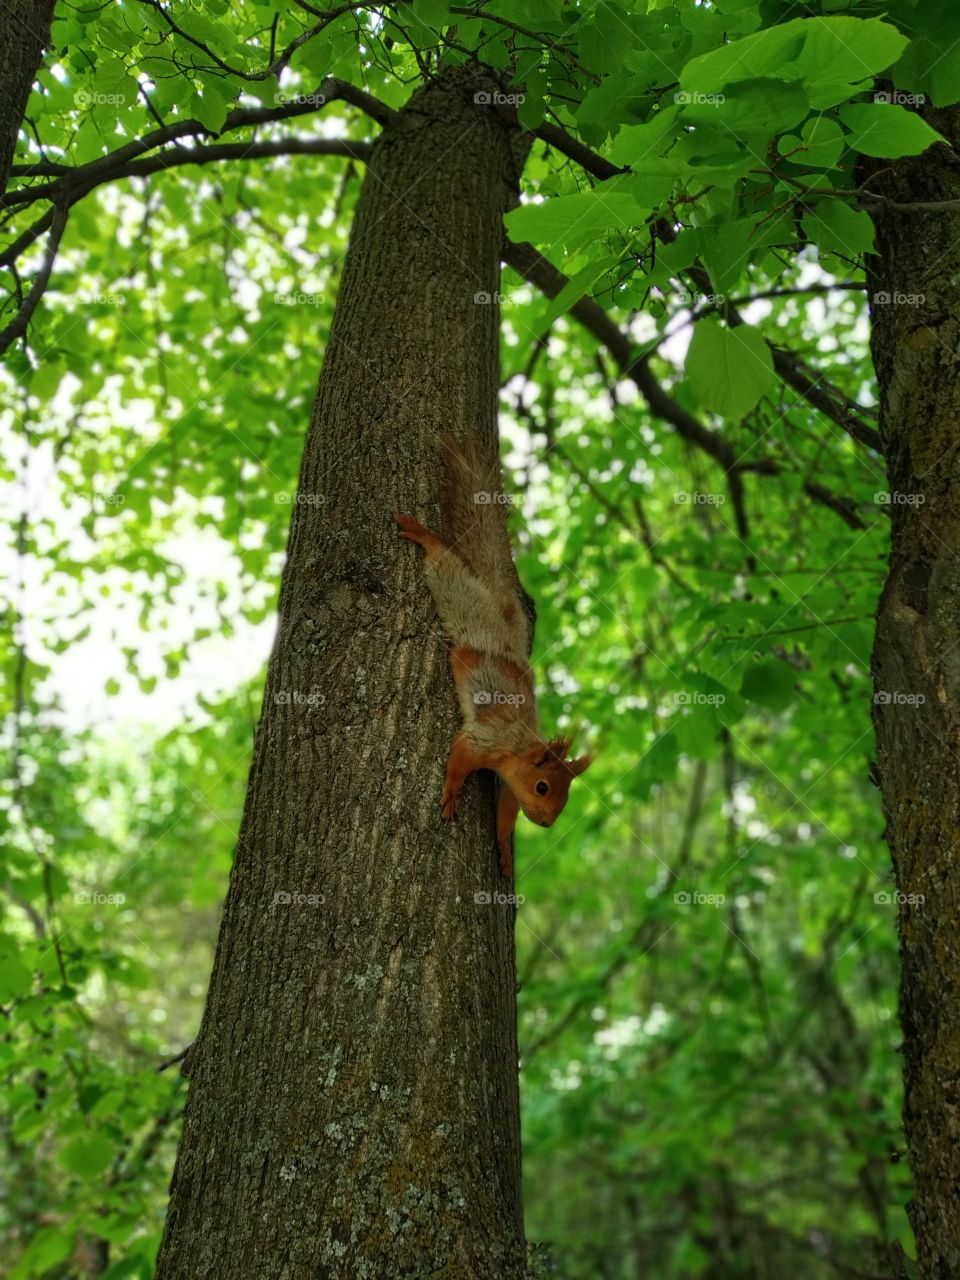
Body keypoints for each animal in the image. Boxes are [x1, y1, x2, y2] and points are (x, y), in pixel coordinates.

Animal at [397, 434, 590, 877]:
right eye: (543, 787)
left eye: (566, 795)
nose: (547, 823)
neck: (519, 748)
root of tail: (503, 628)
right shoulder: (485, 739)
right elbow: (459, 757)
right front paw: (450, 794)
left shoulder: (507, 781)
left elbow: (505, 812)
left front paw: (503, 846)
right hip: (465, 608)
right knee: (446, 570)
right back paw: (424, 536)